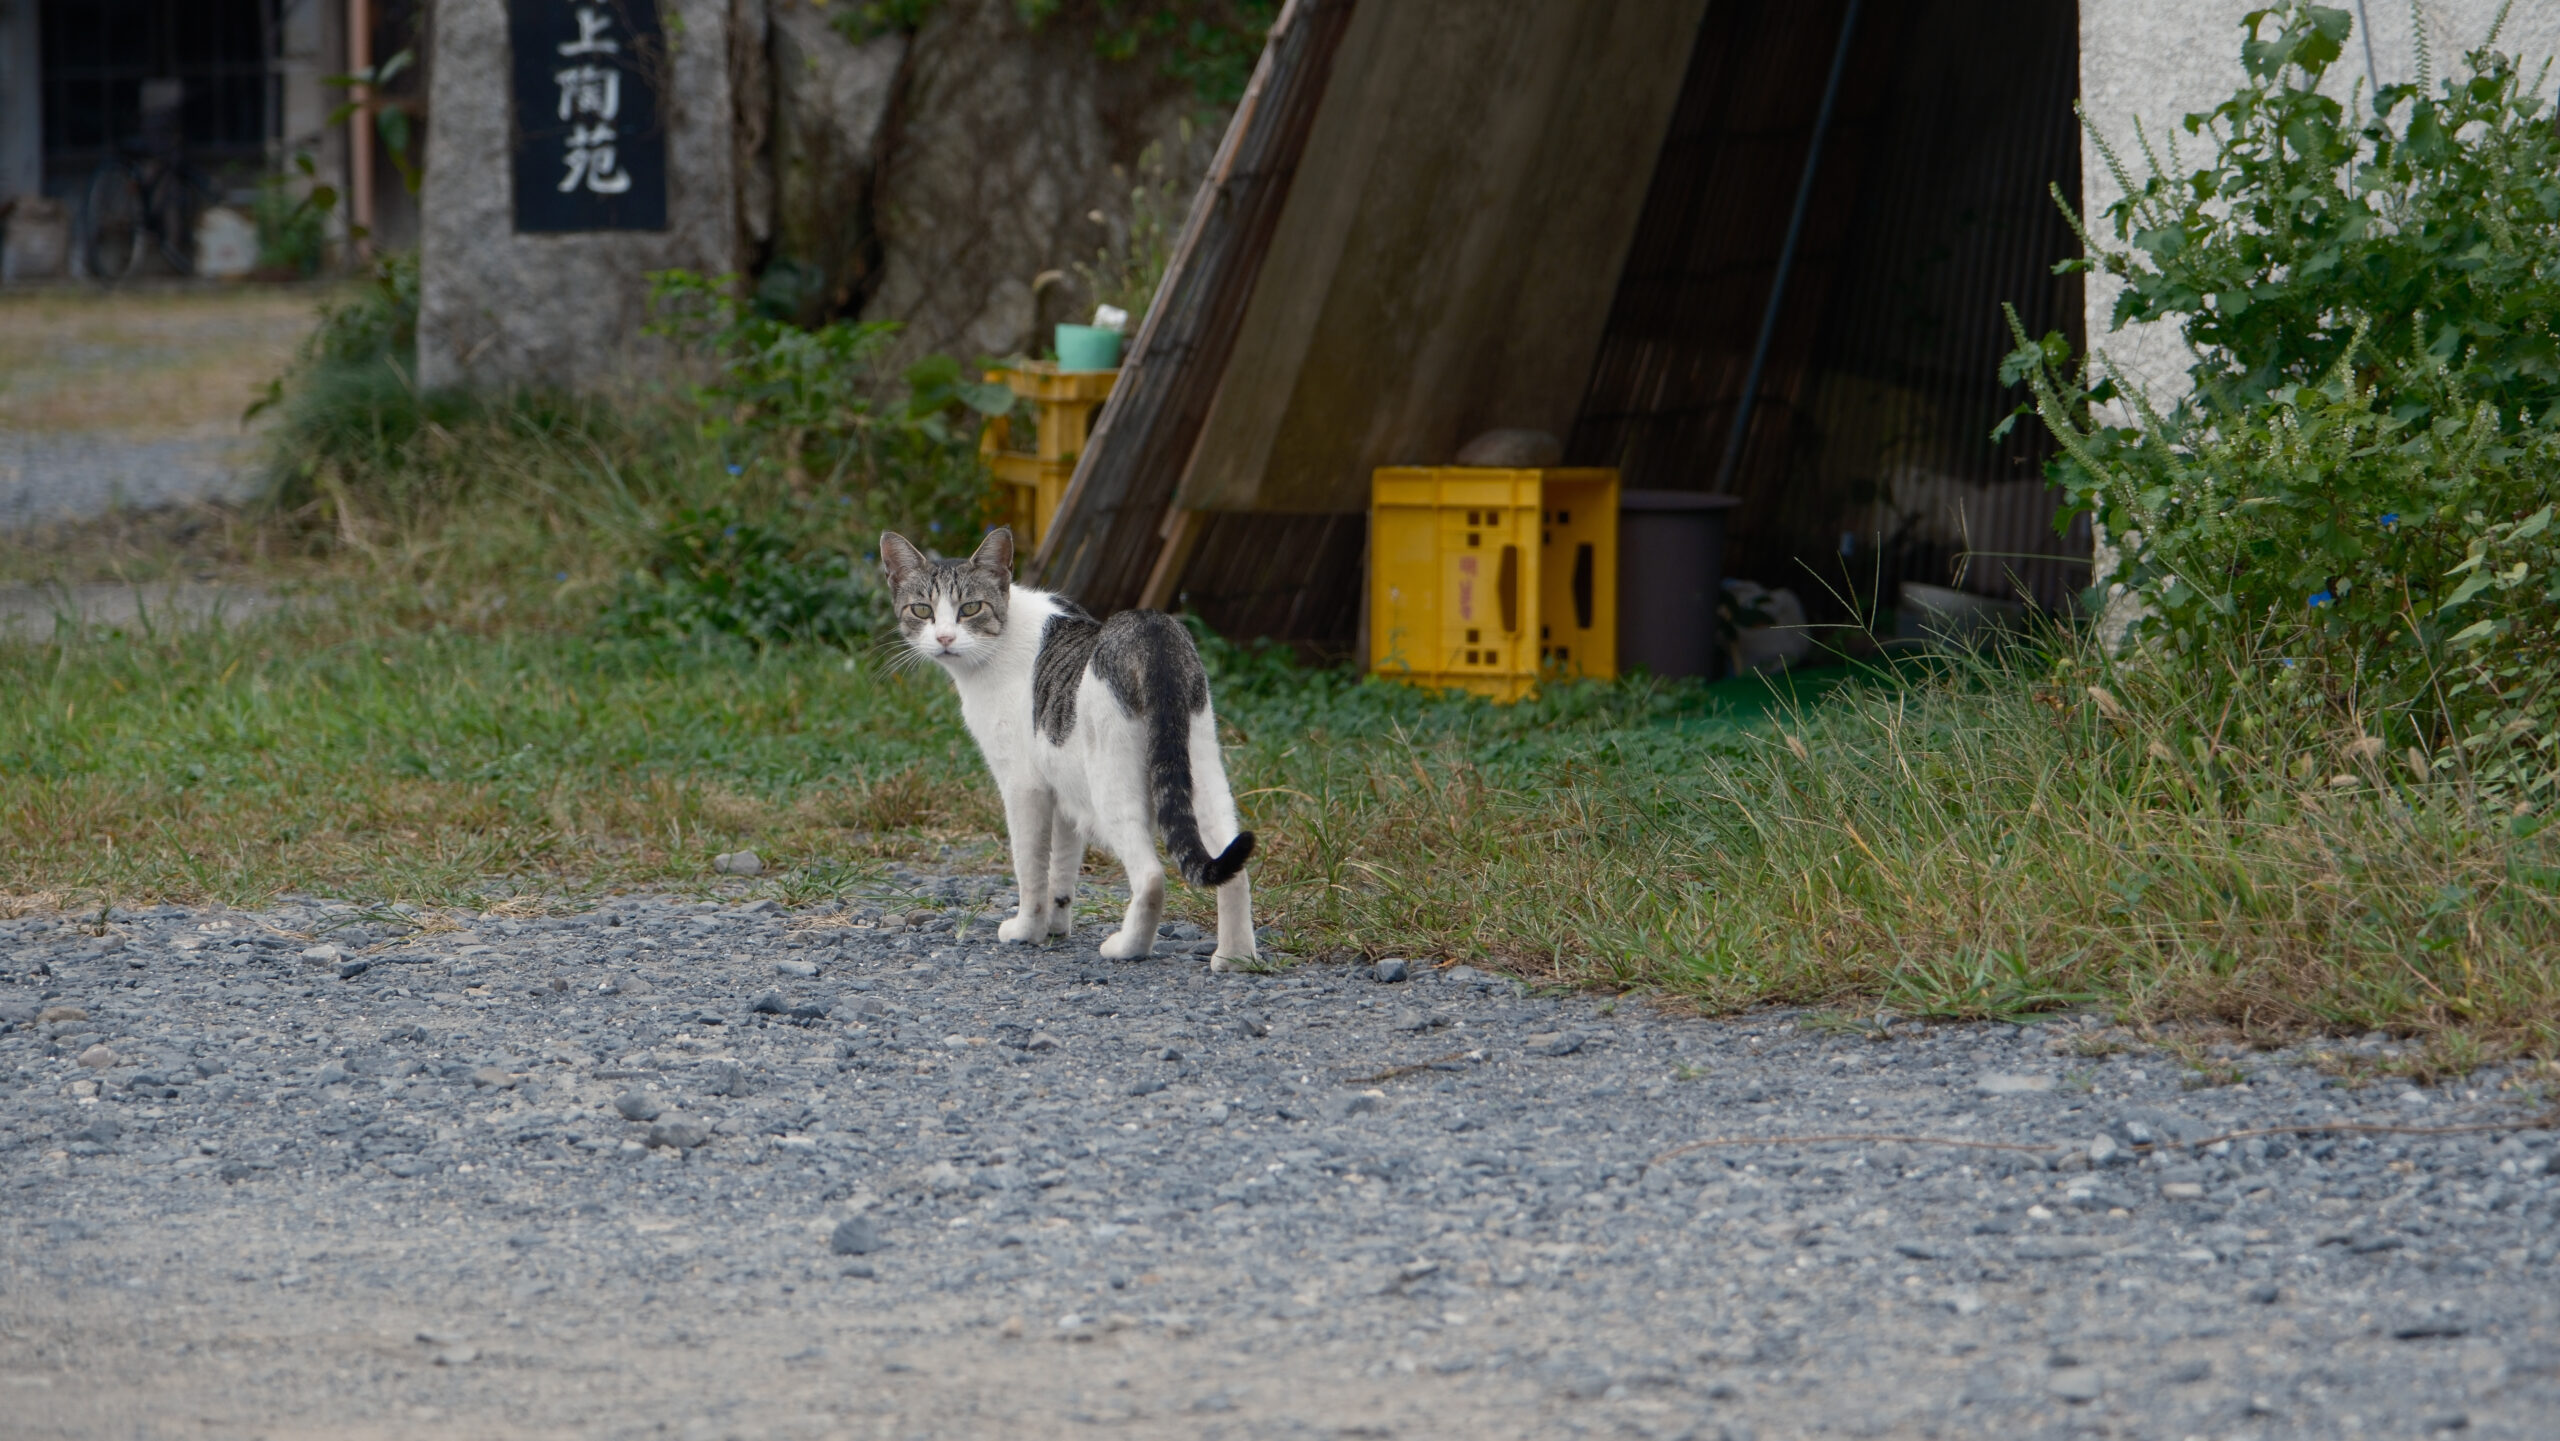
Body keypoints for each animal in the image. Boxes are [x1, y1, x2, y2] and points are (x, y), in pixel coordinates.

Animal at [880, 529, 1259, 967]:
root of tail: (1151, 626)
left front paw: (1026, 930)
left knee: (1150, 876)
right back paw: (1236, 958)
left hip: (1112, 787)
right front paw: (1055, 927)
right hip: (1202, 772)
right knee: (1233, 864)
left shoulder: (1024, 787)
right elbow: (1060, 869)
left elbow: (1030, 869)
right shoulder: (1062, 790)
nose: (944, 638)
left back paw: (1127, 948)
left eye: (970, 608)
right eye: (922, 610)